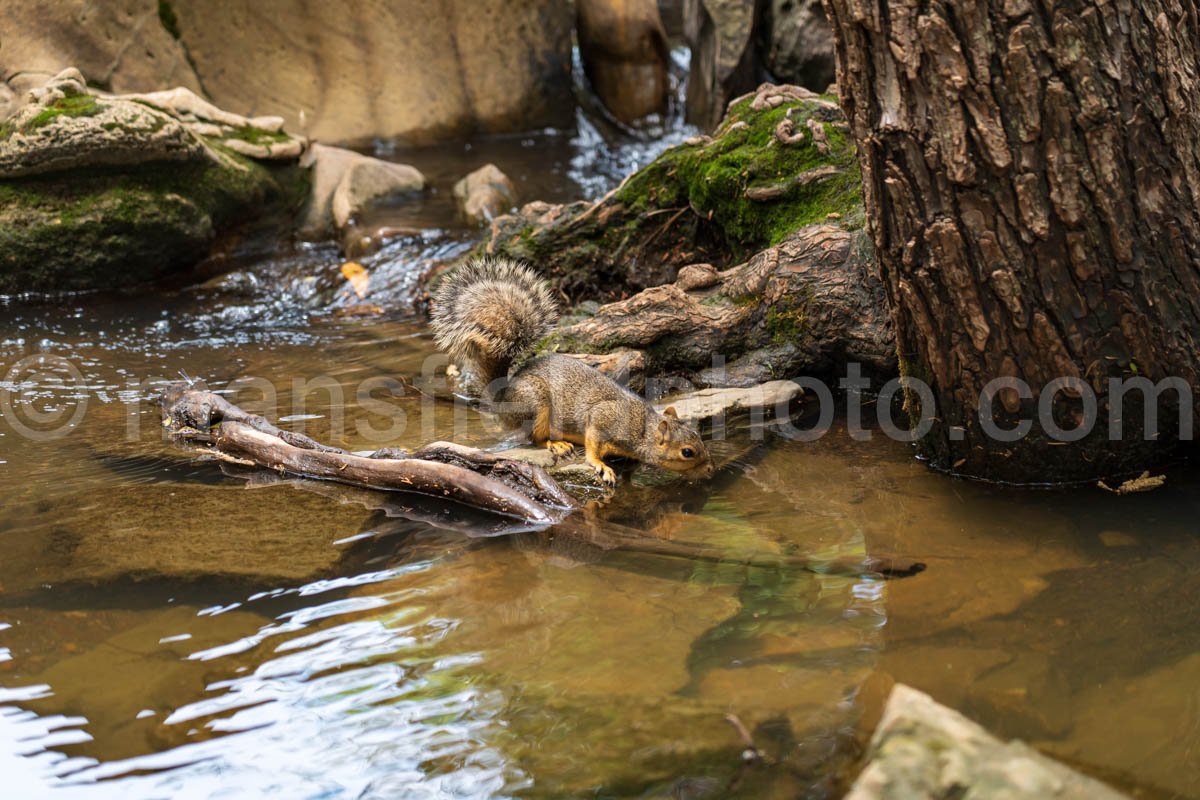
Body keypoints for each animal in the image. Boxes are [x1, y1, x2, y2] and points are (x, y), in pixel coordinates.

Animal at [434, 260, 710, 491]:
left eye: (699, 438)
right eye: (687, 452)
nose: (710, 469)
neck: (642, 429)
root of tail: (503, 397)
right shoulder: (602, 419)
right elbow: (593, 445)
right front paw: (601, 465)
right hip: (535, 404)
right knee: (534, 437)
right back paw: (555, 444)